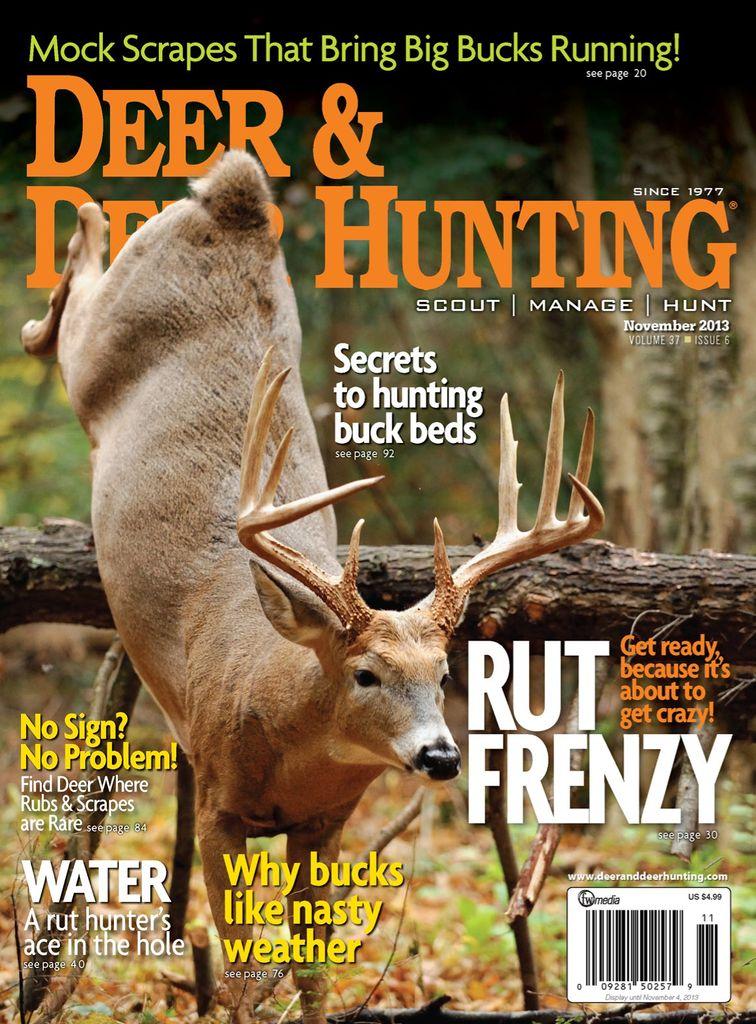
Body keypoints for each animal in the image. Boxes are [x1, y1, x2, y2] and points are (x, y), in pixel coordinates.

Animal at [22, 150, 604, 1023]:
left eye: (444, 673)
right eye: (365, 673)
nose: (439, 755)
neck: (284, 722)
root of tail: (236, 205)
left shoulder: (325, 823)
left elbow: (312, 970)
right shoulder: (218, 802)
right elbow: (237, 975)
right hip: (103, 338)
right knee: (80, 267)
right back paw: (46, 294)